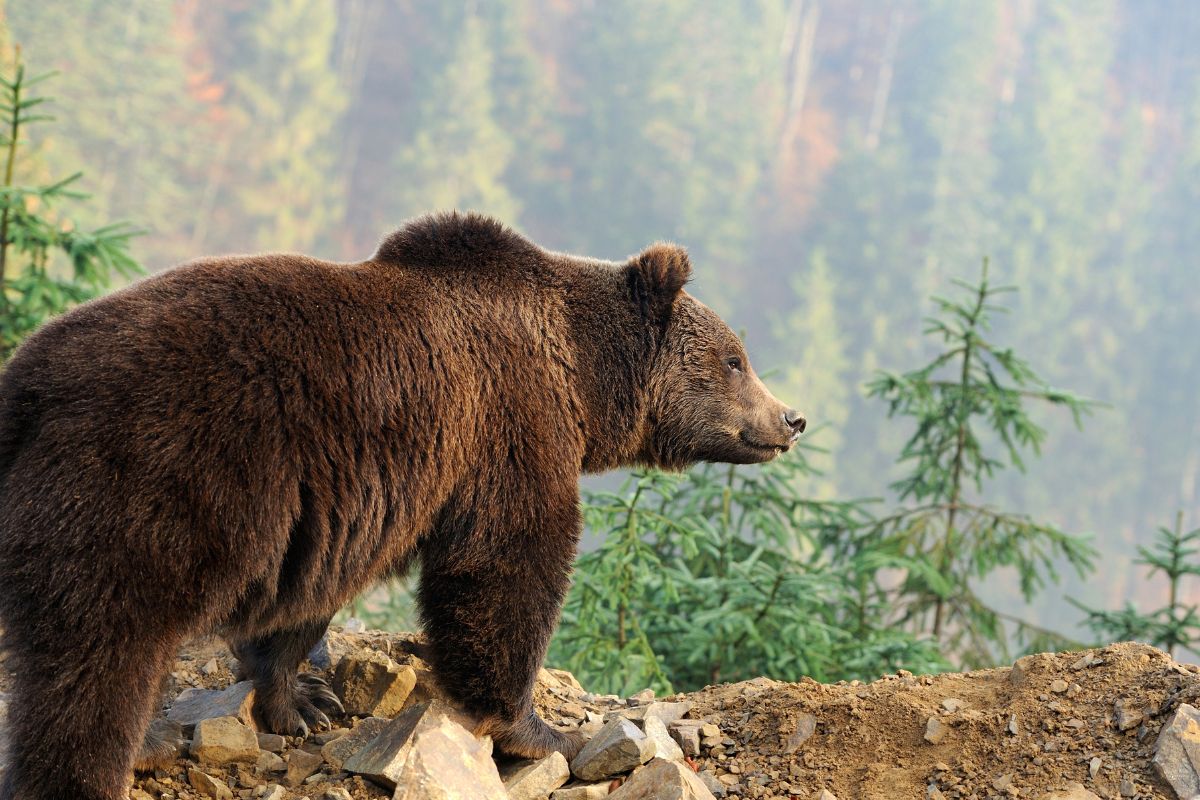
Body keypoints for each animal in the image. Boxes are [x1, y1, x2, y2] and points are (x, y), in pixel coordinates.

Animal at [0, 212, 806, 800]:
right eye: (735, 358)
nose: (791, 419)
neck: (581, 379)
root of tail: (25, 388)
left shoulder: (340, 502)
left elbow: (307, 601)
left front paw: (303, 700)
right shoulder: (504, 427)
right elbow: (508, 565)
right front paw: (538, 730)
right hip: (145, 489)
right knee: (98, 665)